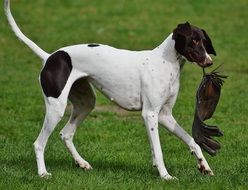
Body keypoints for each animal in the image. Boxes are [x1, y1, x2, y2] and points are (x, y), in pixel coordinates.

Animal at [4, 0, 217, 180]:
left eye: (204, 41)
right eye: (193, 41)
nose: (209, 62)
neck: (164, 62)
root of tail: (49, 57)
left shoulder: (165, 116)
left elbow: (192, 141)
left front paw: (204, 166)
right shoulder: (150, 114)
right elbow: (158, 150)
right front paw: (165, 176)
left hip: (85, 104)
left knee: (66, 134)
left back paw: (81, 163)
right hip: (56, 108)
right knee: (39, 143)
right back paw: (43, 173)